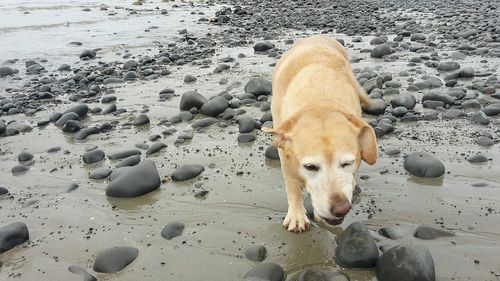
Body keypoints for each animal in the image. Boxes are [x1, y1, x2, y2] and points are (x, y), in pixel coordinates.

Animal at [264, 35, 376, 232]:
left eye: (348, 163)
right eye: (310, 167)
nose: (341, 208)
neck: (319, 101)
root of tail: (317, 36)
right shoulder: (285, 155)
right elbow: (292, 185)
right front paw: (297, 215)